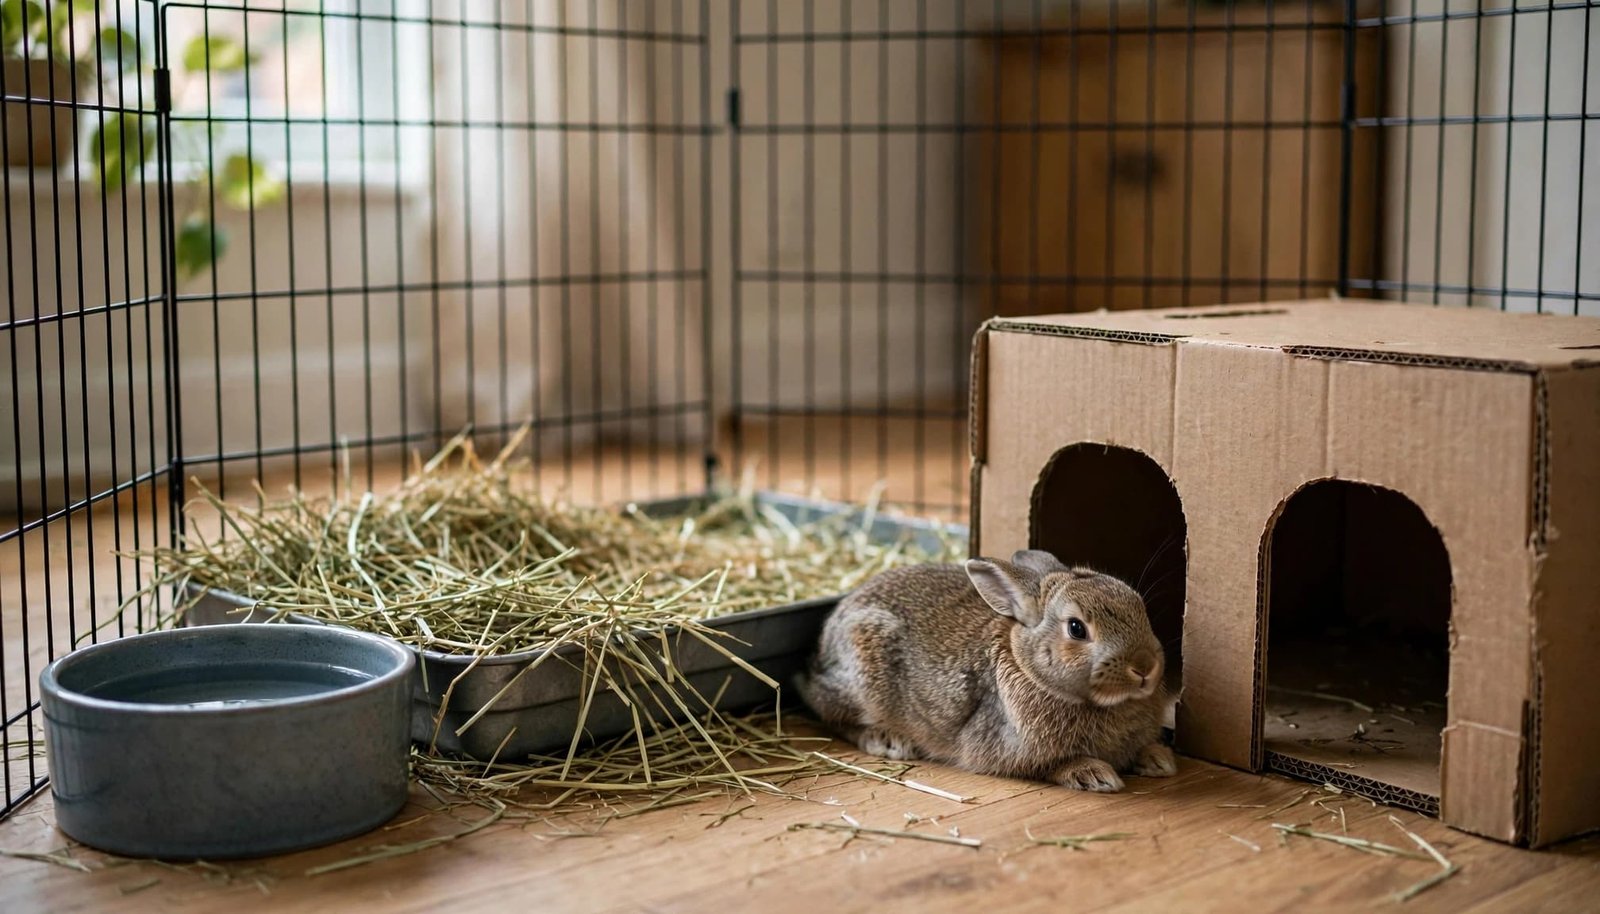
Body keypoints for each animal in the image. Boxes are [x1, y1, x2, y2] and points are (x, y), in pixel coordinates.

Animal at [796, 549, 1176, 792]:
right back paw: (889, 741)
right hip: (862, 676)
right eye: (1076, 629)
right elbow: (1050, 765)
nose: (1145, 668)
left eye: (1140, 608)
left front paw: (1159, 759)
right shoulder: (1009, 750)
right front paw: (1095, 774)